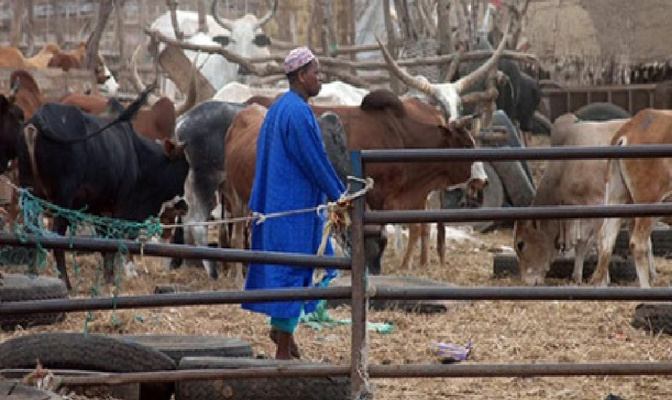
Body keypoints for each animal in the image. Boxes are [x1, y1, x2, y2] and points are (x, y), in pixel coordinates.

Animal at [15, 92, 189, 290]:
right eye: (184, 168)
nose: (184, 206)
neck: (138, 156)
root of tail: (38, 118)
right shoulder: (119, 208)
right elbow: (112, 243)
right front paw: (112, 279)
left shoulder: (100, 209)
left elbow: (104, 244)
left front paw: (108, 278)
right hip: (62, 201)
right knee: (56, 238)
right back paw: (65, 282)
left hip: (29, 196)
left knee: (30, 234)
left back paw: (32, 275)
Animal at [516, 114, 632, 286]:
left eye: (521, 244)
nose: (525, 281)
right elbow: (582, 244)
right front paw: (577, 276)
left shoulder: (599, 205)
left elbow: (600, 242)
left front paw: (602, 279)